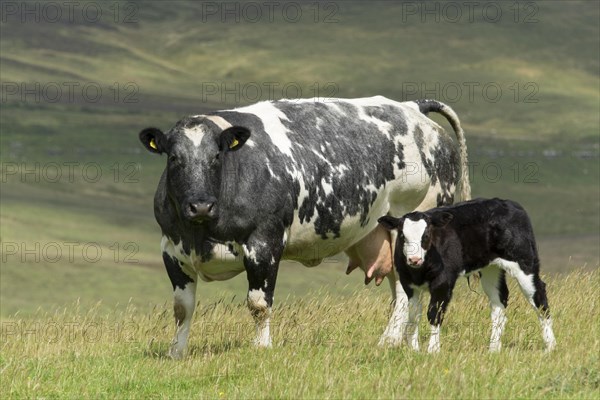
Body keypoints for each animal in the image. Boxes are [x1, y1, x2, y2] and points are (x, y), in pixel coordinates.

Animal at [138, 95, 472, 358]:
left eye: (217, 156)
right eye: (174, 158)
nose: (200, 205)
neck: (203, 233)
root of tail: (411, 107)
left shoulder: (264, 243)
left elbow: (259, 303)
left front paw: (261, 347)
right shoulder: (172, 249)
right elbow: (182, 308)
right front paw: (177, 352)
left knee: (406, 292)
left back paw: (389, 341)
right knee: (401, 291)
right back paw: (397, 340)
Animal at [380, 198, 556, 352]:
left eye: (426, 235)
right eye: (402, 236)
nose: (414, 259)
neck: (419, 271)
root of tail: (508, 203)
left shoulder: (443, 282)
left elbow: (434, 314)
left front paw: (433, 350)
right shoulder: (409, 284)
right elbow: (414, 315)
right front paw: (414, 350)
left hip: (525, 263)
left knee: (539, 299)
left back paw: (550, 347)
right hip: (490, 269)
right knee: (499, 303)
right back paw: (493, 349)